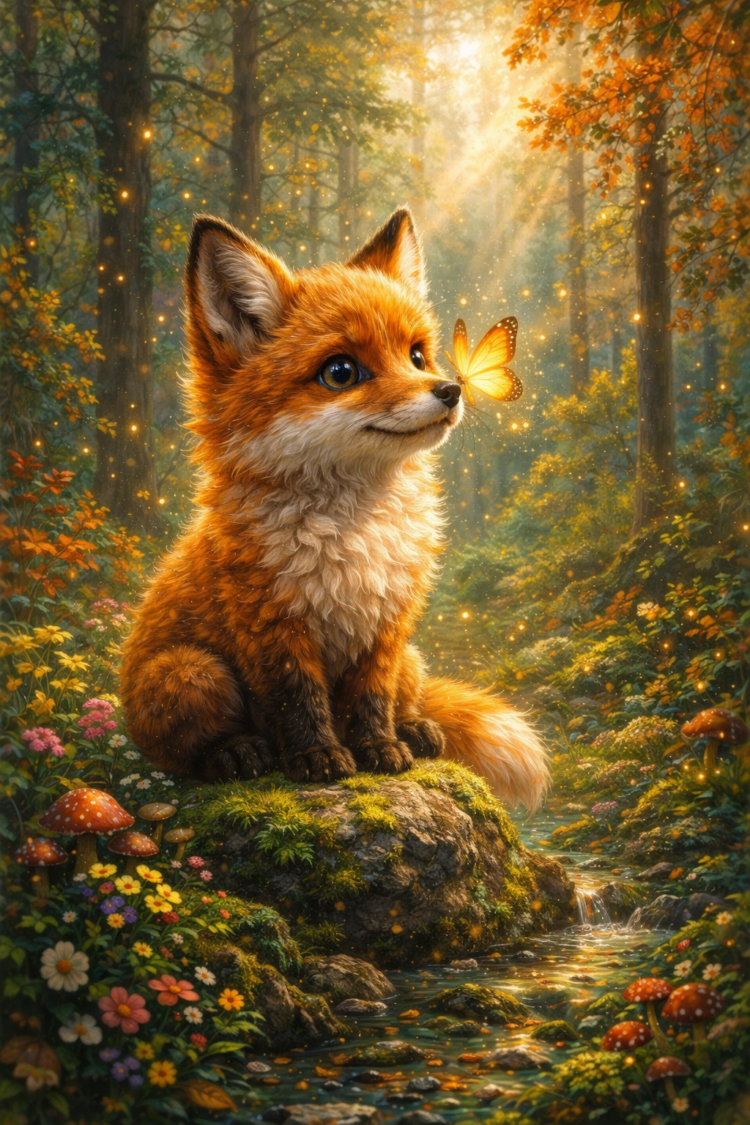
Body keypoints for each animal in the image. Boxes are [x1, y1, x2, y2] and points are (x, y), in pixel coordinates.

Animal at [120, 207, 549, 809]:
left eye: (417, 354)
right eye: (341, 372)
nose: (450, 390)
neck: (354, 532)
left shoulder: (387, 625)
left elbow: (371, 700)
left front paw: (381, 750)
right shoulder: (271, 625)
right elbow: (298, 702)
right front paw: (318, 758)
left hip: (411, 659)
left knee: (409, 698)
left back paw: (416, 730)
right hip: (190, 672)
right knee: (177, 751)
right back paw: (235, 753)